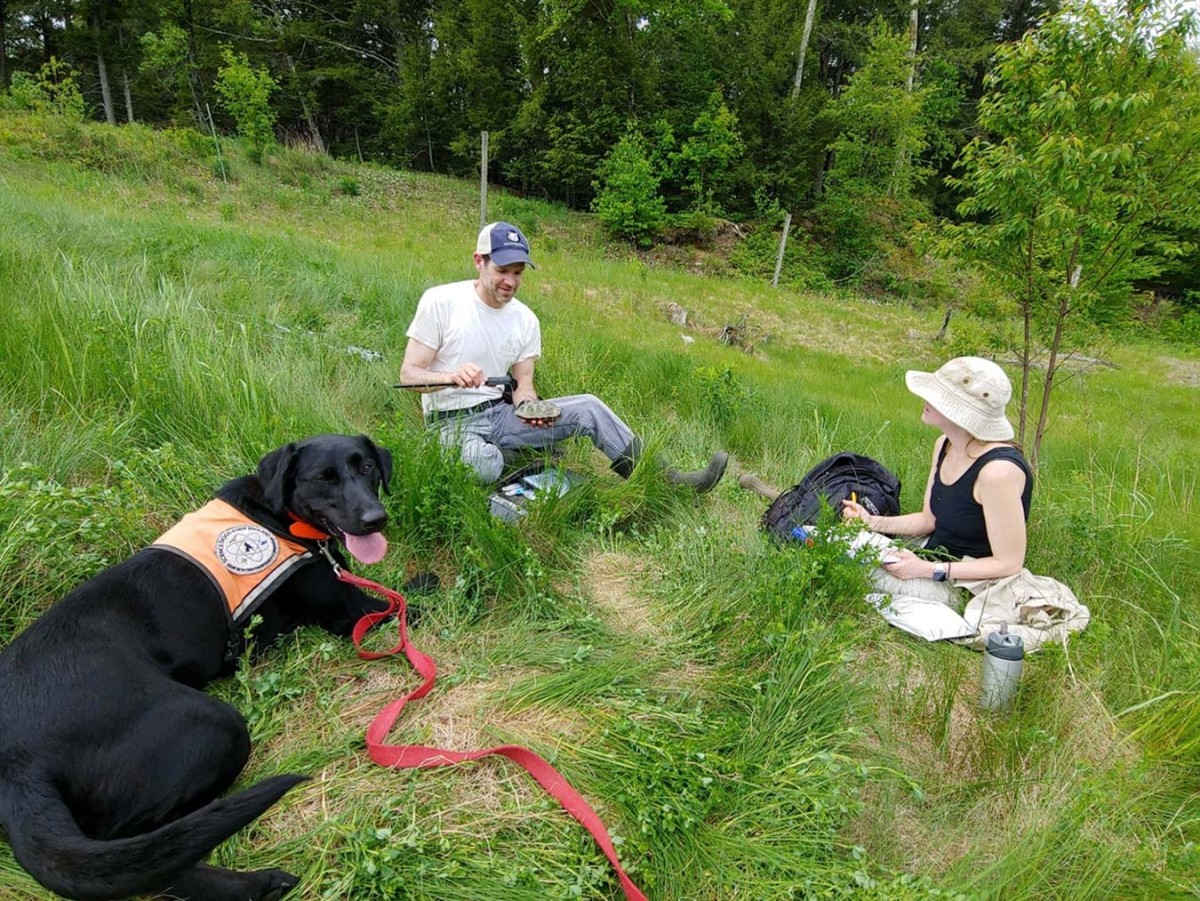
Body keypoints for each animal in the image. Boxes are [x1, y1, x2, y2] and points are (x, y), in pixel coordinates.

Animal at [0, 436, 396, 901]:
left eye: (367, 467)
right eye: (324, 478)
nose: (375, 519)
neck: (281, 517)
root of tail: (14, 760)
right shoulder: (352, 614)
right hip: (215, 724)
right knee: (152, 853)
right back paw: (254, 882)